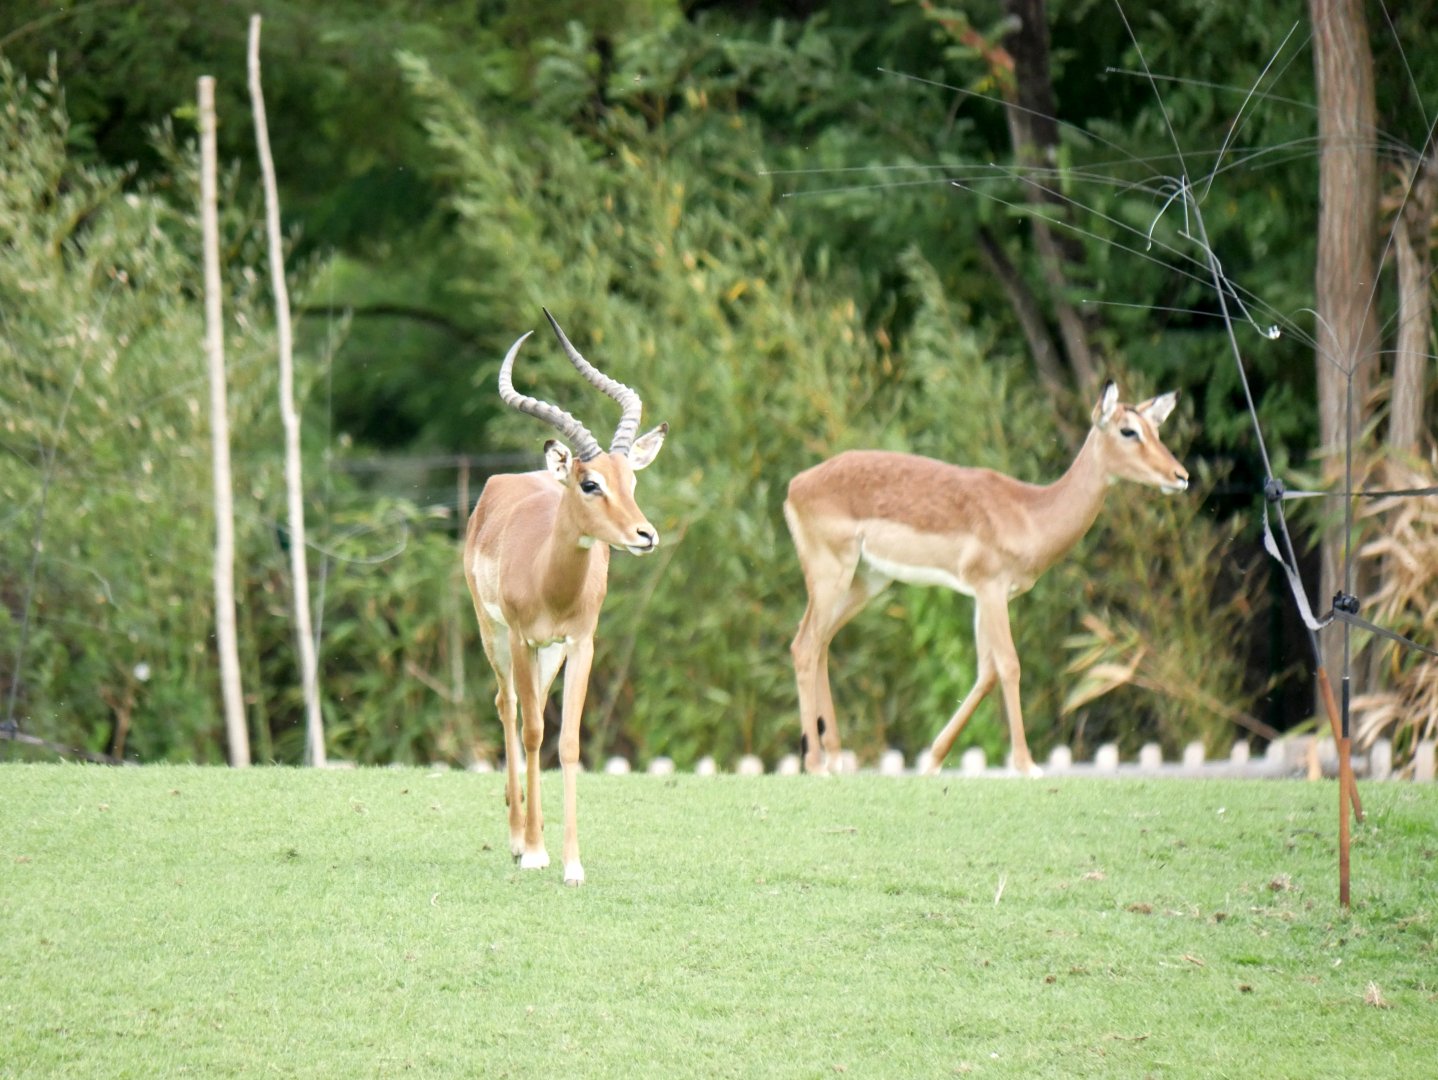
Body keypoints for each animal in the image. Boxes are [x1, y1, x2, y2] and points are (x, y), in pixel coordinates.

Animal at [463, 311, 666, 884]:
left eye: (631, 480)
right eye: (590, 483)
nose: (645, 535)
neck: (547, 580)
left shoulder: (580, 644)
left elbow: (570, 742)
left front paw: (572, 864)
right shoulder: (522, 639)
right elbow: (534, 731)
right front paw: (534, 852)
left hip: (548, 654)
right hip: (494, 637)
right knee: (509, 708)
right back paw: (518, 839)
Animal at [784, 381, 1188, 777]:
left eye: (1157, 429)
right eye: (1128, 430)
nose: (1180, 476)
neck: (1029, 513)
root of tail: (795, 486)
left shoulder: (986, 596)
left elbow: (987, 672)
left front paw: (932, 761)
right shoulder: (991, 589)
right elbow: (1009, 665)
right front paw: (1027, 766)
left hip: (867, 582)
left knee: (821, 642)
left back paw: (835, 758)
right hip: (831, 574)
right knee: (804, 645)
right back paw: (815, 764)